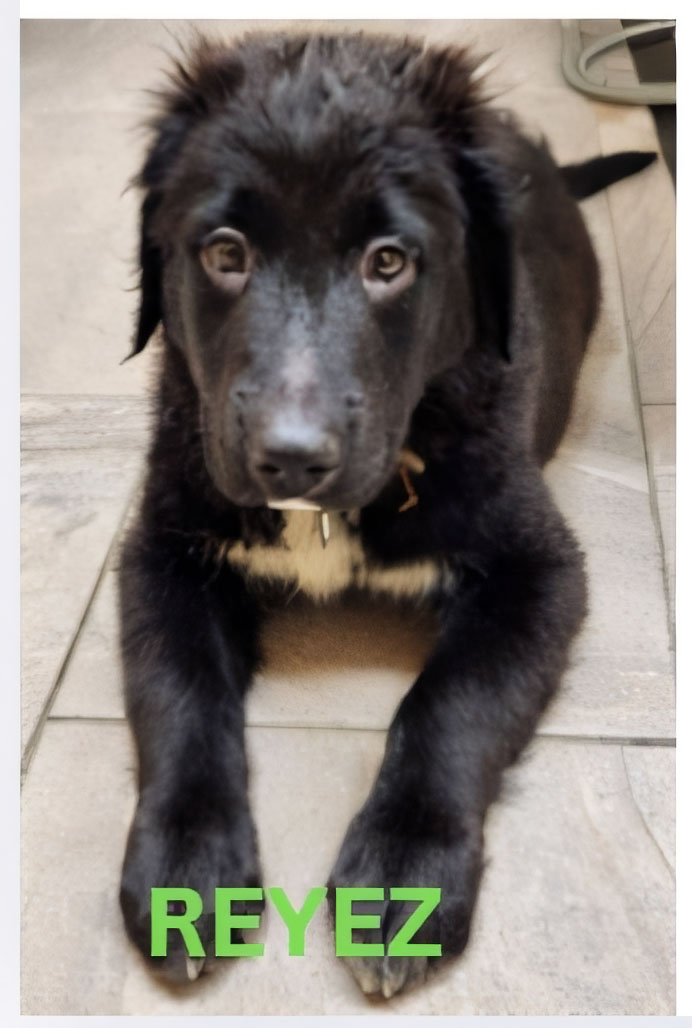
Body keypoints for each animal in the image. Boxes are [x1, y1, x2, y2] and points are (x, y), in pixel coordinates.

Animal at [117, 30, 655, 998]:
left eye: (389, 262)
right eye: (224, 252)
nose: (292, 458)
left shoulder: (539, 569)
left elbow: (451, 700)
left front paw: (403, 874)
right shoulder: (161, 549)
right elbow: (177, 689)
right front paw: (185, 868)